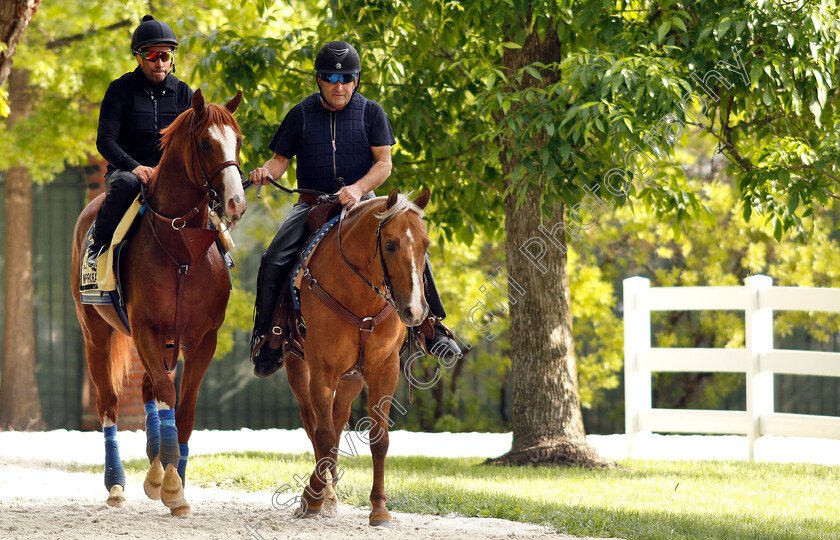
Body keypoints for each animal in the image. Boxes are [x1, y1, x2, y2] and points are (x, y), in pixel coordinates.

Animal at [71, 89, 246, 520]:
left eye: (237, 140)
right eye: (206, 143)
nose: (236, 201)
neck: (181, 246)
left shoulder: (201, 339)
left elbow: (184, 407)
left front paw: (171, 480)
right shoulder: (146, 329)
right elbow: (167, 393)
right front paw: (169, 484)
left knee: (149, 388)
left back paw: (155, 467)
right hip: (97, 334)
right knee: (110, 402)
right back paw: (117, 484)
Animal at [288, 188, 434, 524]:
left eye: (426, 244)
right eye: (390, 244)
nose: (415, 310)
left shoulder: (385, 369)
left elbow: (379, 438)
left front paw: (379, 508)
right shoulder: (322, 371)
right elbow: (324, 436)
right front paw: (312, 497)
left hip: (352, 378)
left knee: (338, 418)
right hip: (297, 367)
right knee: (313, 424)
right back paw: (325, 494)